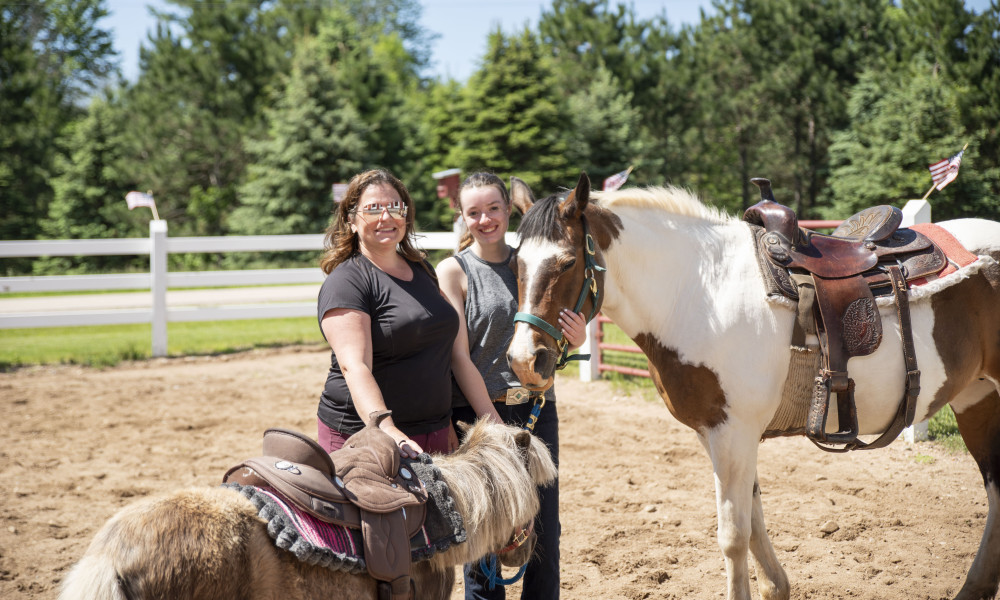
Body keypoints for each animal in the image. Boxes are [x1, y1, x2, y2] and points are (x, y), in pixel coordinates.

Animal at [505, 172, 1000, 600]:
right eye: (515, 264)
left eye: (568, 262)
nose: (525, 360)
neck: (699, 293)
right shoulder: (720, 435)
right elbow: (755, 518)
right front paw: (775, 587)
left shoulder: (733, 433)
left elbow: (733, 534)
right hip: (978, 398)